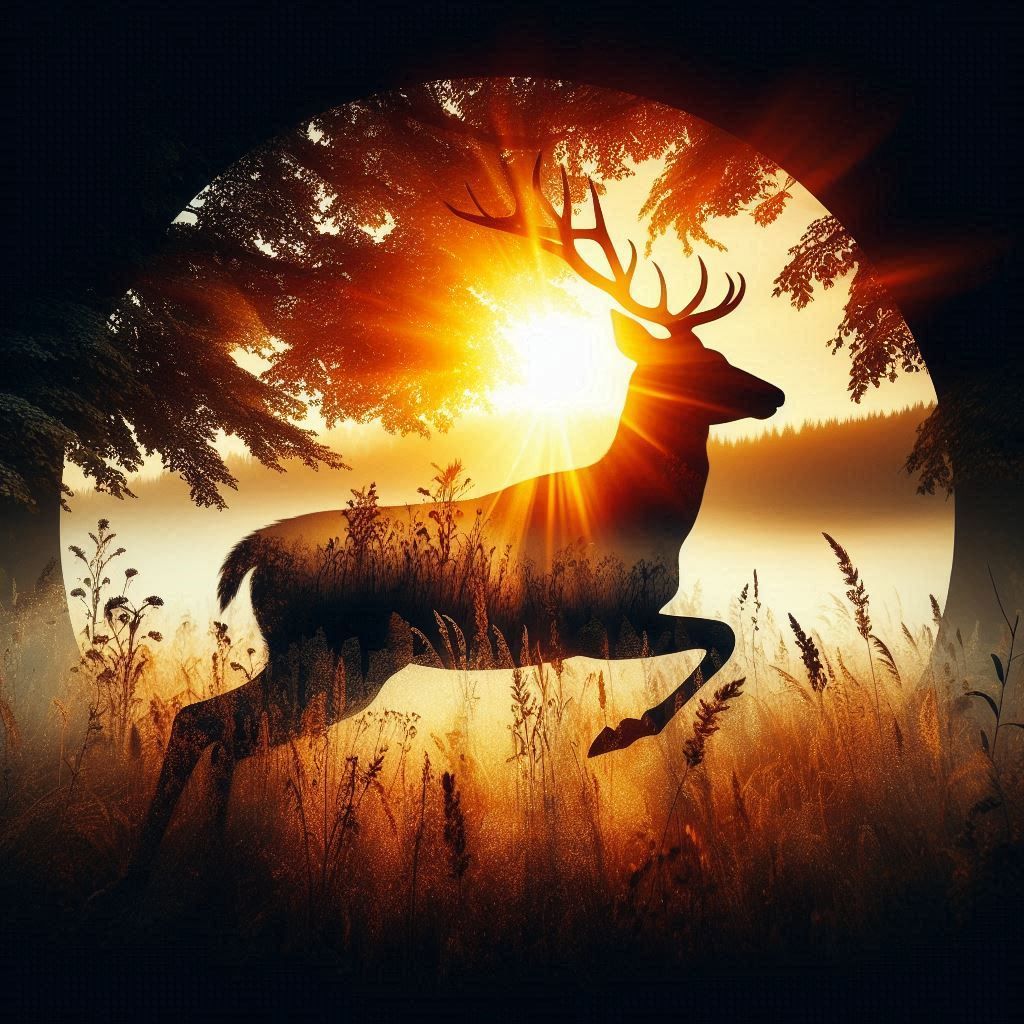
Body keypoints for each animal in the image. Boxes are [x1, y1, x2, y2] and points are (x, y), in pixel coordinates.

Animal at [123, 153, 784, 890]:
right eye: (701, 363)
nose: (774, 394)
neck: (641, 510)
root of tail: (254, 551)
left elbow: (721, 638)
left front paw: (618, 731)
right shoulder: (596, 621)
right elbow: (723, 636)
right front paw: (617, 733)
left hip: (338, 662)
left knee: (218, 728)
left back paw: (179, 860)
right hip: (327, 650)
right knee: (212, 725)